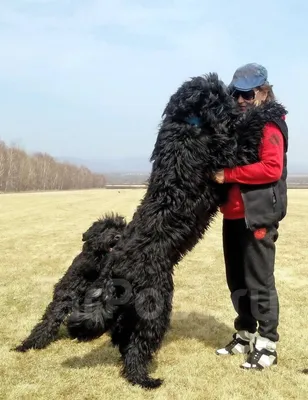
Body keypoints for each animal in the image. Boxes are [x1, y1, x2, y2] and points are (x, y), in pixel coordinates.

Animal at [13, 214, 127, 352]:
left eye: (122, 229)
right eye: (105, 228)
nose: (118, 236)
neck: (95, 269)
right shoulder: (65, 295)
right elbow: (50, 319)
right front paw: (29, 344)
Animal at [67, 72, 286, 388]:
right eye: (219, 95)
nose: (235, 105)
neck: (189, 123)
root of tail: (113, 269)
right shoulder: (230, 155)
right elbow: (246, 135)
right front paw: (269, 110)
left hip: (131, 310)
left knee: (123, 337)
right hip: (156, 304)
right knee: (138, 347)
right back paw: (145, 379)